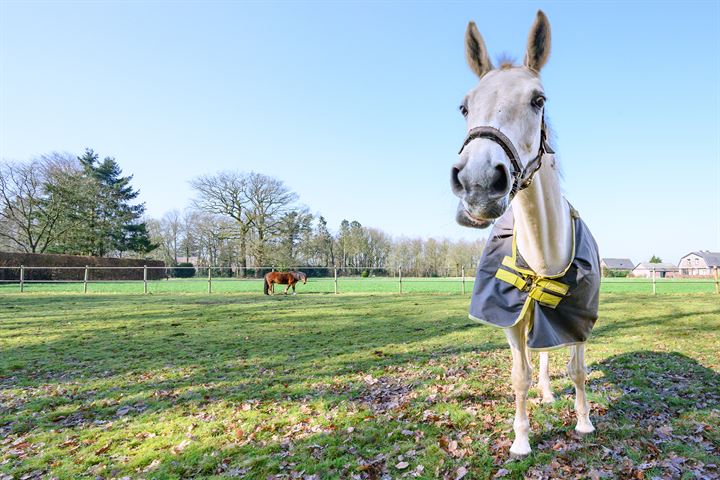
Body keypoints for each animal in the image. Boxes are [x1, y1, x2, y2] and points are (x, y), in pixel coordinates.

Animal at [452, 10, 600, 454]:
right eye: (465, 106)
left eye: (539, 100)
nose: (479, 183)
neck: (544, 256)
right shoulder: (510, 321)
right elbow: (520, 376)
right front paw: (521, 440)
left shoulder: (577, 320)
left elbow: (577, 369)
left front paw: (584, 422)